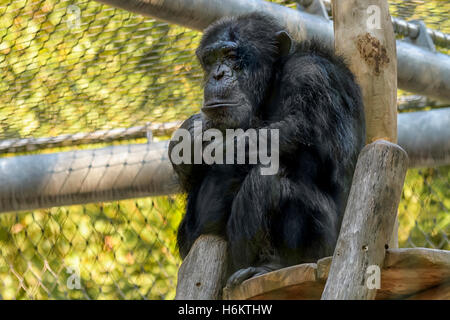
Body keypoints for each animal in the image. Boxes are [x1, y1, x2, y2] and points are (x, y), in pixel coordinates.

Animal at [169, 13, 366, 288]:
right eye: (211, 59)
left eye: (231, 55)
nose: (218, 74)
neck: (271, 83)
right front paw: (191, 135)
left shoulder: (310, 74)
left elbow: (290, 130)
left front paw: (197, 138)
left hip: (325, 246)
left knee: (268, 177)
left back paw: (271, 264)